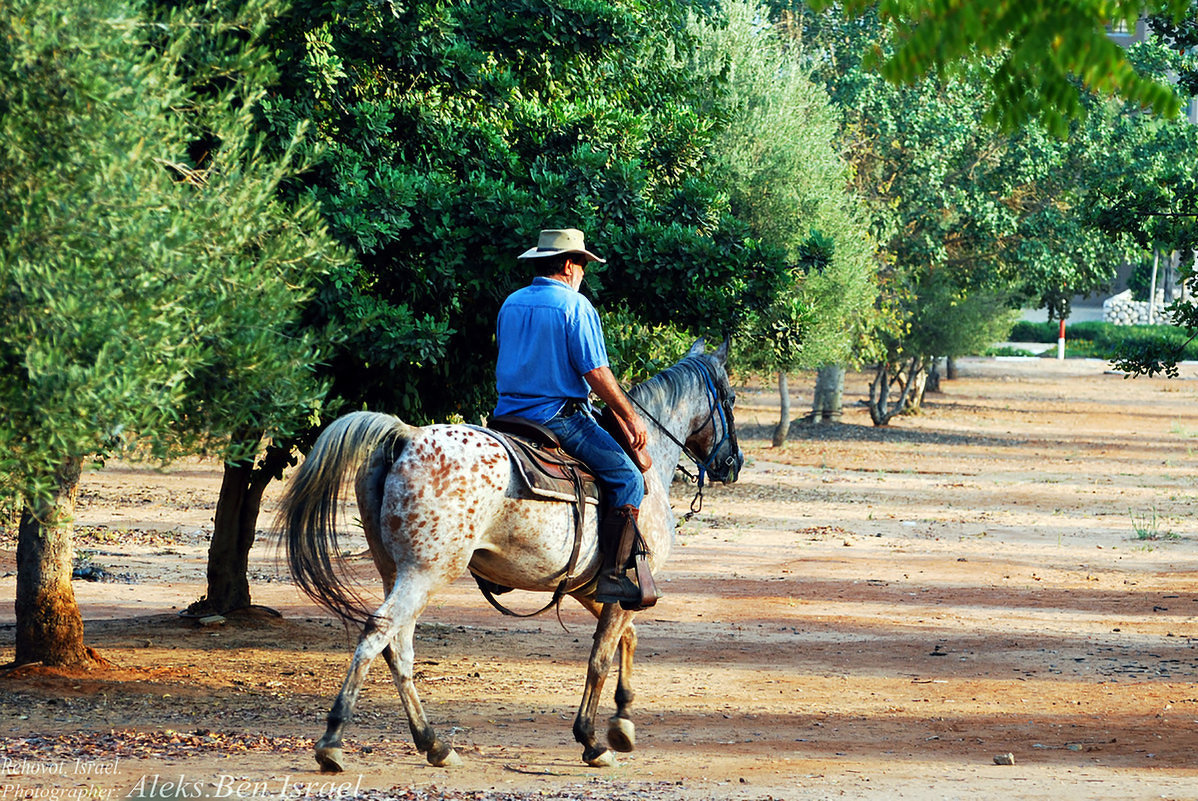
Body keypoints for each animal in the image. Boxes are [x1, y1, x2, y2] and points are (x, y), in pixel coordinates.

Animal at [277, 337, 737, 766]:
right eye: (729, 399)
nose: (733, 463)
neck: (647, 459)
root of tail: (407, 436)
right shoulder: (628, 587)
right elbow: (600, 657)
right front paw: (591, 739)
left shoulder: (594, 589)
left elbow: (627, 638)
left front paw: (622, 721)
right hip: (426, 572)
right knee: (379, 632)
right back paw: (333, 741)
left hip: (395, 569)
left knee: (398, 648)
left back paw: (433, 743)